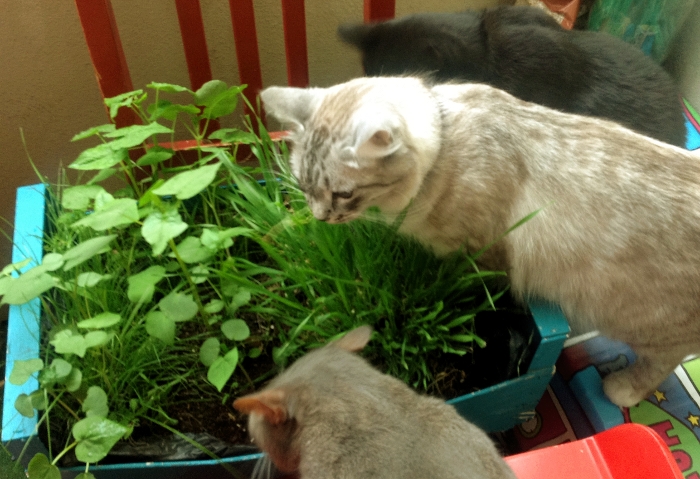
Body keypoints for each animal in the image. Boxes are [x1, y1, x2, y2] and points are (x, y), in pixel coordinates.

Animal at [259, 76, 700, 408]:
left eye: (344, 195)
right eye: (303, 187)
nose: (320, 217)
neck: (444, 142)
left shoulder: (480, 257)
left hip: (642, 321)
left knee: (665, 357)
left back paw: (622, 389)